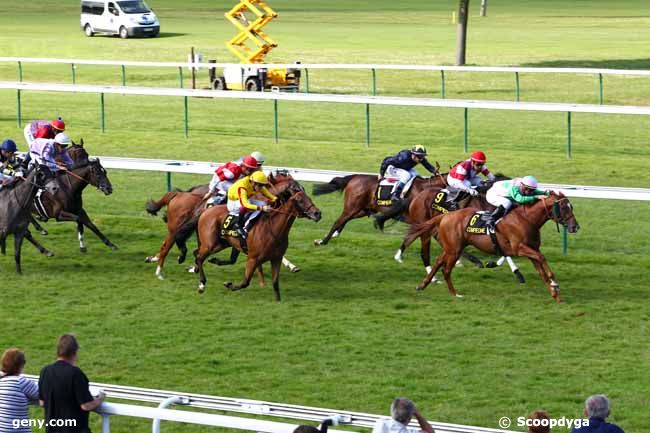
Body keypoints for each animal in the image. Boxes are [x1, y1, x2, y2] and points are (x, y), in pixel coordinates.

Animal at [187, 179, 318, 300]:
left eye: (309, 197)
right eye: (300, 200)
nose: (318, 213)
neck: (273, 228)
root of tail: (205, 212)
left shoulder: (276, 258)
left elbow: (275, 283)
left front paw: (278, 300)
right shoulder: (253, 258)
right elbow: (245, 282)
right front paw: (229, 284)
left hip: (222, 243)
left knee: (197, 253)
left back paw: (202, 266)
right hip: (210, 244)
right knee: (199, 257)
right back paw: (201, 284)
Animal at [310, 173, 442, 246]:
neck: (425, 189)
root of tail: (354, 177)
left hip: (362, 210)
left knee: (343, 221)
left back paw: (331, 236)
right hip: (352, 207)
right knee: (339, 221)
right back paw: (323, 241)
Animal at [404, 192, 576, 300]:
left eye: (571, 207)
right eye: (564, 207)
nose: (575, 226)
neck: (526, 219)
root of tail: (445, 216)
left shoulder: (531, 249)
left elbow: (541, 269)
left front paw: (555, 294)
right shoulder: (519, 248)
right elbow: (542, 258)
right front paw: (555, 283)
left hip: (451, 248)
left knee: (439, 262)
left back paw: (423, 285)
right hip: (454, 250)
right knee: (446, 269)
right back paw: (455, 294)